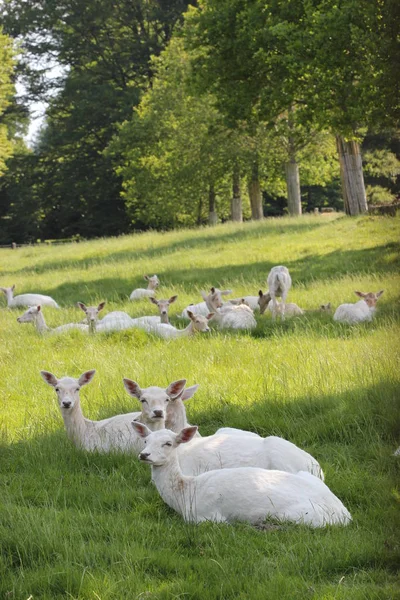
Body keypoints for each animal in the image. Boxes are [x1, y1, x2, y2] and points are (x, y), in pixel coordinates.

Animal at [133, 424, 352, 528]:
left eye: (168, 443)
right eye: (145, 441)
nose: (144, 455)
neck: (184, 494)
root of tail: (344, 513)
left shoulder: (208, 518)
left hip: (302, 516)